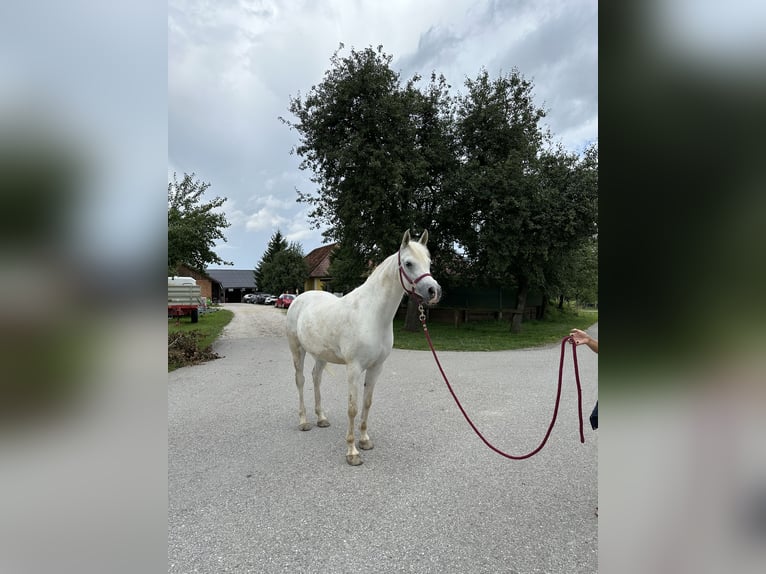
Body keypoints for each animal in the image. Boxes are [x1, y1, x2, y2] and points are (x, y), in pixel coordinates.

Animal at [286, 231, 444, 468]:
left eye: (429, 262)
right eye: (408, 263)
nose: (434, 291)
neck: (372, 314)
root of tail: (299, 298)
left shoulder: (376, 367)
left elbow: (367, 403)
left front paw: (365, 441)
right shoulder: (354, 368)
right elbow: (352, 408)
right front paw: (352, 452)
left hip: (321, 355)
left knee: (316, 378)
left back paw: (321, 418)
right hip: (297, 350)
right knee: (301, 380)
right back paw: (304, 421)